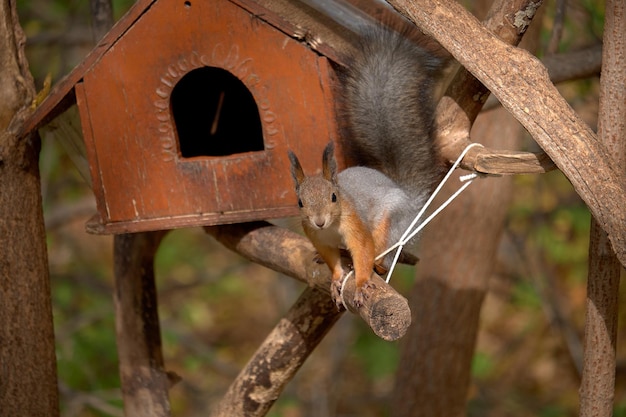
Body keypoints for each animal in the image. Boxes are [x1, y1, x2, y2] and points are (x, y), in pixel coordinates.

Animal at [286, 24, 444, 308]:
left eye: (334, 197)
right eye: (300, 202)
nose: (319, 221)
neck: (330, 229)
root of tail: (410, 202)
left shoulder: (355, 227)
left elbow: (362, 251)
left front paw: (360, 284)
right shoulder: (318, 238)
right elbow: (331, 260)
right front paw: (336, 279)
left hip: (390, 223)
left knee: (381, 254)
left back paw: (379, 265)